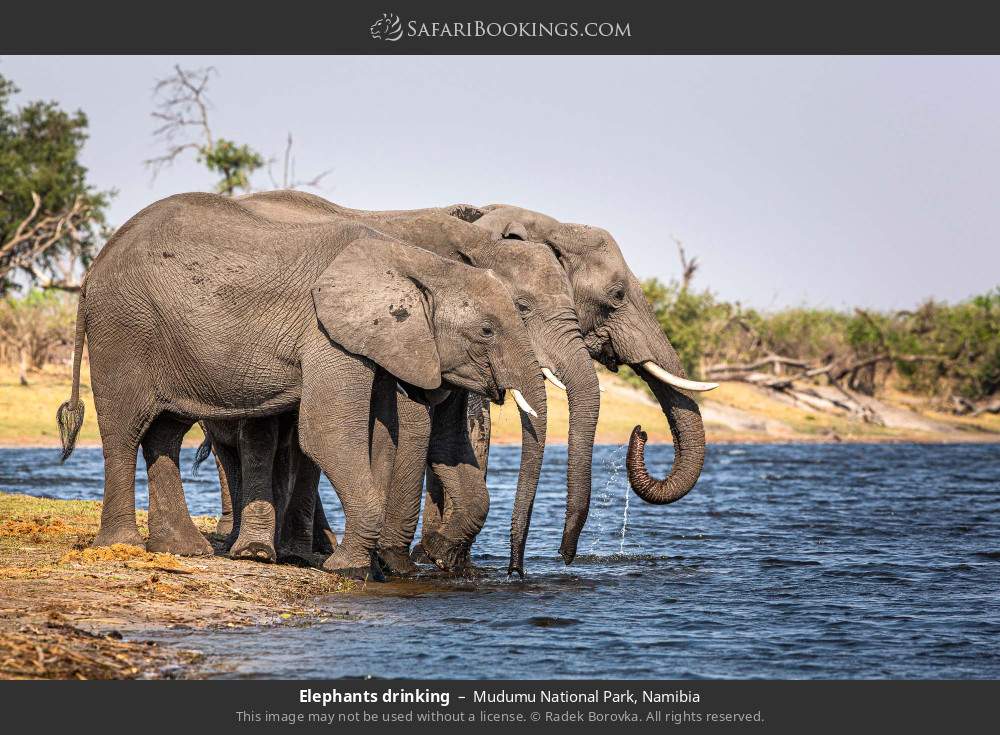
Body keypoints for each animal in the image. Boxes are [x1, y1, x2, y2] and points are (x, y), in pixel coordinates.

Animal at [56, 191, 548, 580]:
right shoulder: (326, 333)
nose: (516, 573)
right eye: (487, 331)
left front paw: (367, 565)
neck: (412, 261)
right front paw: (347, 567)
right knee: (124, 430)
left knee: (166, 432)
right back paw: (122, 546)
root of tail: (93, 269)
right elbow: (328, 433)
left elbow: (385, 434)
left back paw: (183, 549)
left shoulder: (376, 341)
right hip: (123, 328)